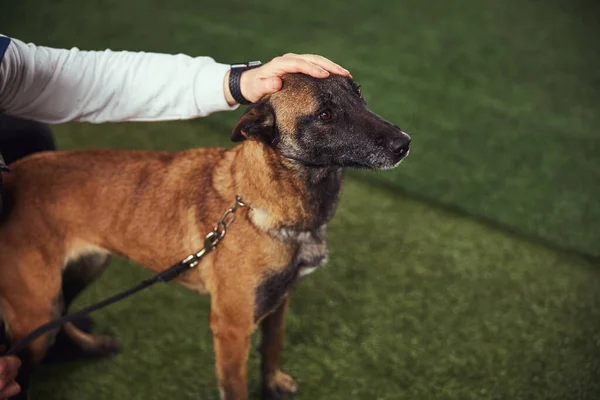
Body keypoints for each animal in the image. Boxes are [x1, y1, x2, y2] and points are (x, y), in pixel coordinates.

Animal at [0, 73, 410, 398]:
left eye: (358, 94)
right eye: (325, 114)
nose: (404, 143)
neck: (257, 202)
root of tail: (13, 175)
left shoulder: (280, 301)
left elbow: (272, 348)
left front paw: (273, 383)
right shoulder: (231, 328)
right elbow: (237, 388)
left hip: (84, 269)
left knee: (64, 317)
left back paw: (92, 345)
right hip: (37, 308)